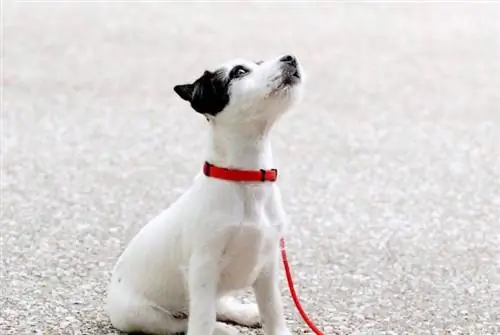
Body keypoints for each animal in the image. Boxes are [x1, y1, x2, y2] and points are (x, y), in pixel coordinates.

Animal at [106, 53, 304, 334]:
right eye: (239, 72)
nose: (290, 57)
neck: (246, 178)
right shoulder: (203, 267)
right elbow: (200, 320)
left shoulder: (267, 266)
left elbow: (273, 310)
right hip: (140, 314)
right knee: (182, 321)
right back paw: (222, 329)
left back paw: (243, 314)